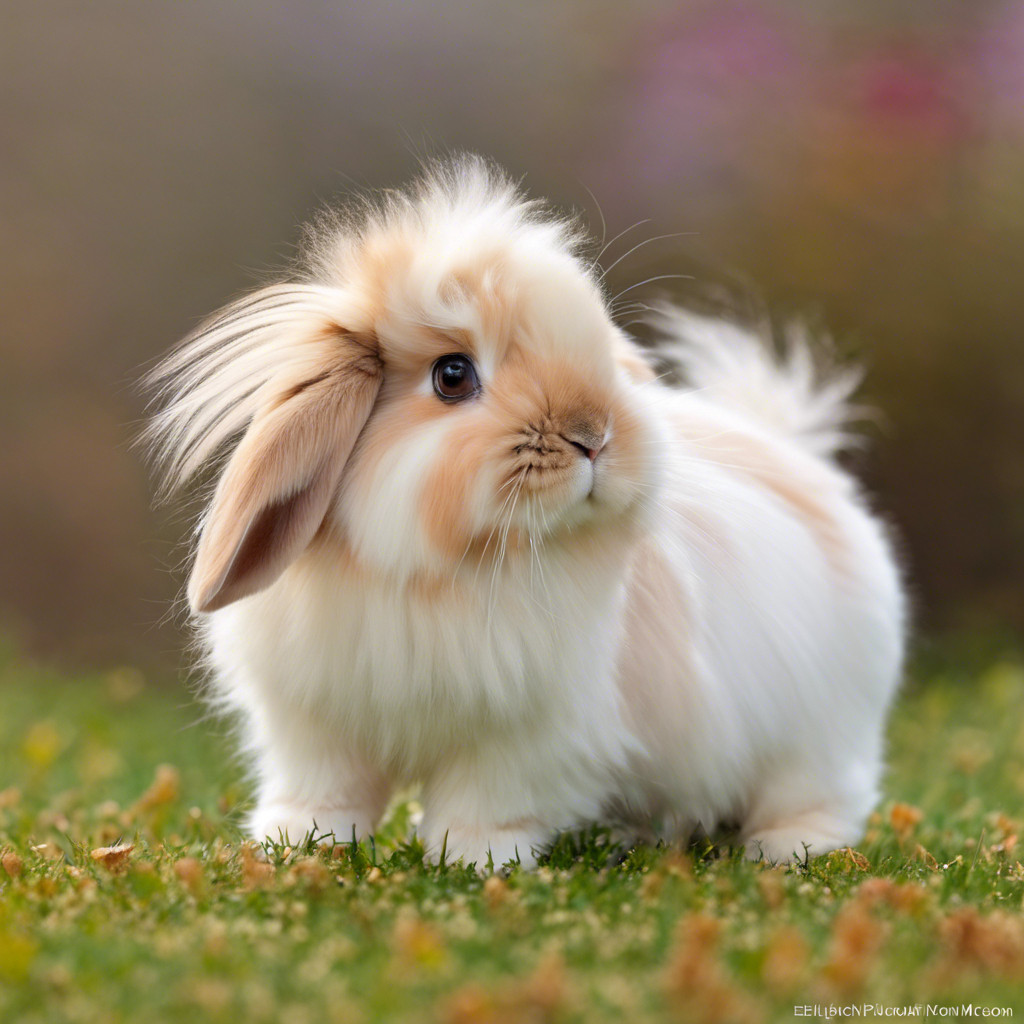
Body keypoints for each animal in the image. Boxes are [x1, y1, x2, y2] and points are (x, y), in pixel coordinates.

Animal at [146, 155, 905, 869]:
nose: (593, 434)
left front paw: (472, 857)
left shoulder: (529, 737)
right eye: (452, 375)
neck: (432, 573)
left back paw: (786, 847)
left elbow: (487, 801)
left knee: (823, 795)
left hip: (822, 736)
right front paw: (297, 845)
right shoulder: (314, 730)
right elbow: (326, 796)